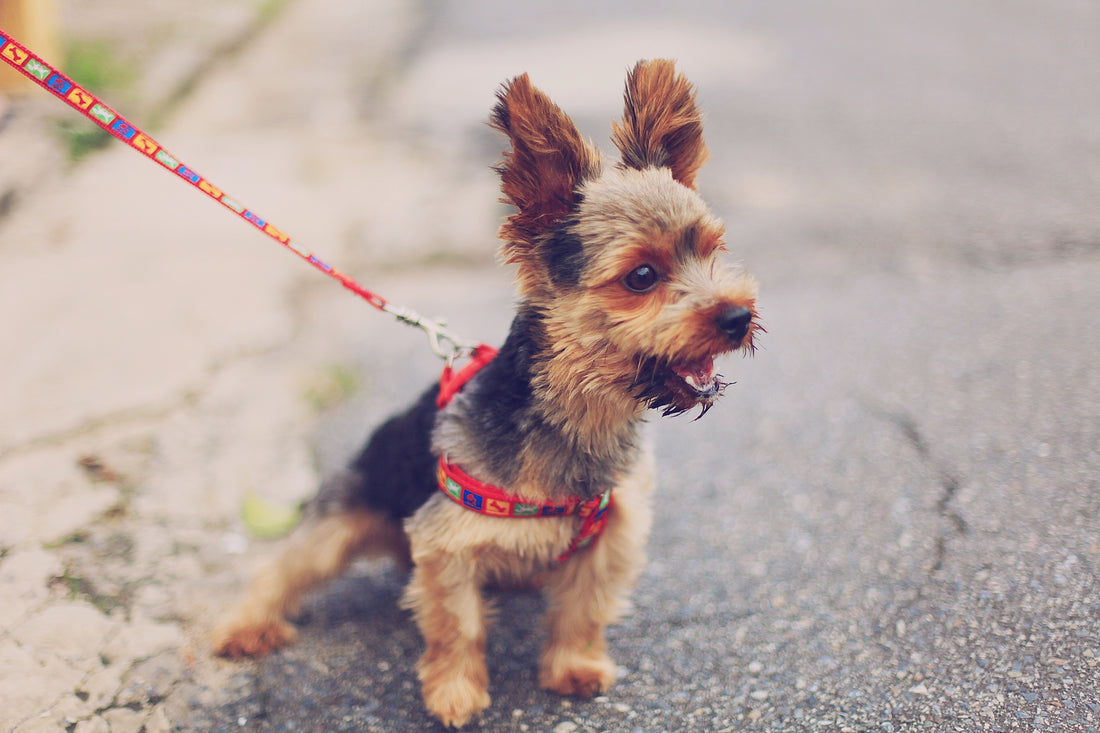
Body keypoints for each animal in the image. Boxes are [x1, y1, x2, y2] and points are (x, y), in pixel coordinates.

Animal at [212, 58, 765, 726]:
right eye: (641, 276)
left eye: (712, 251)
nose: (738, 316)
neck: (579, 415)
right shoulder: (446, 545)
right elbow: (458, 626)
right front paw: (456, 694)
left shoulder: (613, 535)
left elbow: (583, 610)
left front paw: (574, 667)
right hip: (344, 514)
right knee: (283, 567)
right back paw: (246, 627)